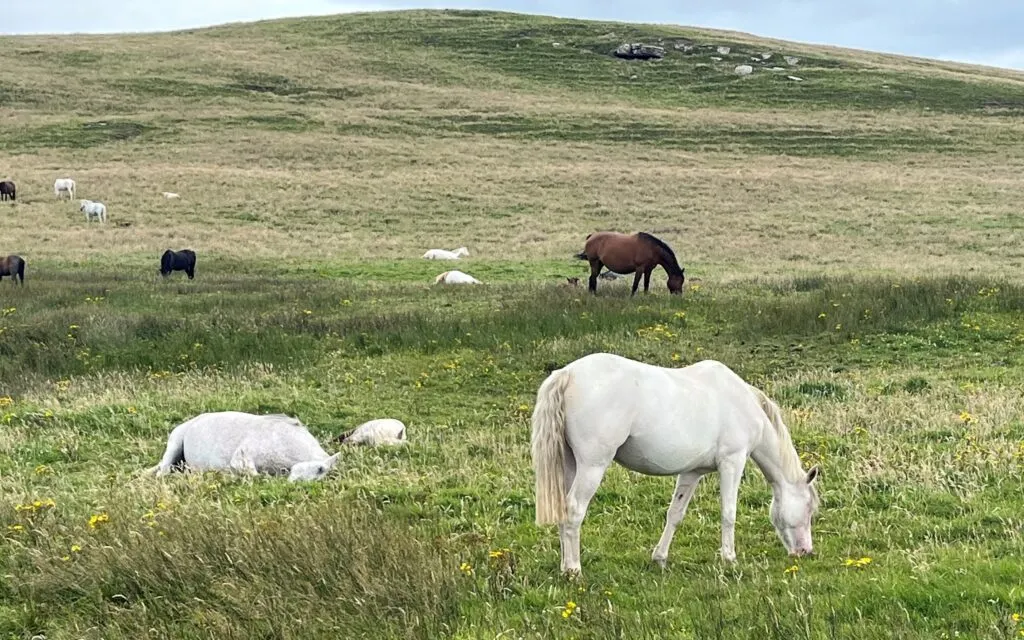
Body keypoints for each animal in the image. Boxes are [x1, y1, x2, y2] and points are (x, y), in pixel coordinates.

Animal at [532, 352, 819, 577]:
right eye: (809, 508)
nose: (805, 551)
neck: (741, 401)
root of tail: (567, 374)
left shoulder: (692, 473)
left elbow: (675, 514)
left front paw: (660, 557)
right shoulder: (732, 462)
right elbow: (728, 513)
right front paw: (729, 558)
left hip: (571, 465)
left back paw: (565, 566)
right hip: (592, 467)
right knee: (574, 509)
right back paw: (574, 570)